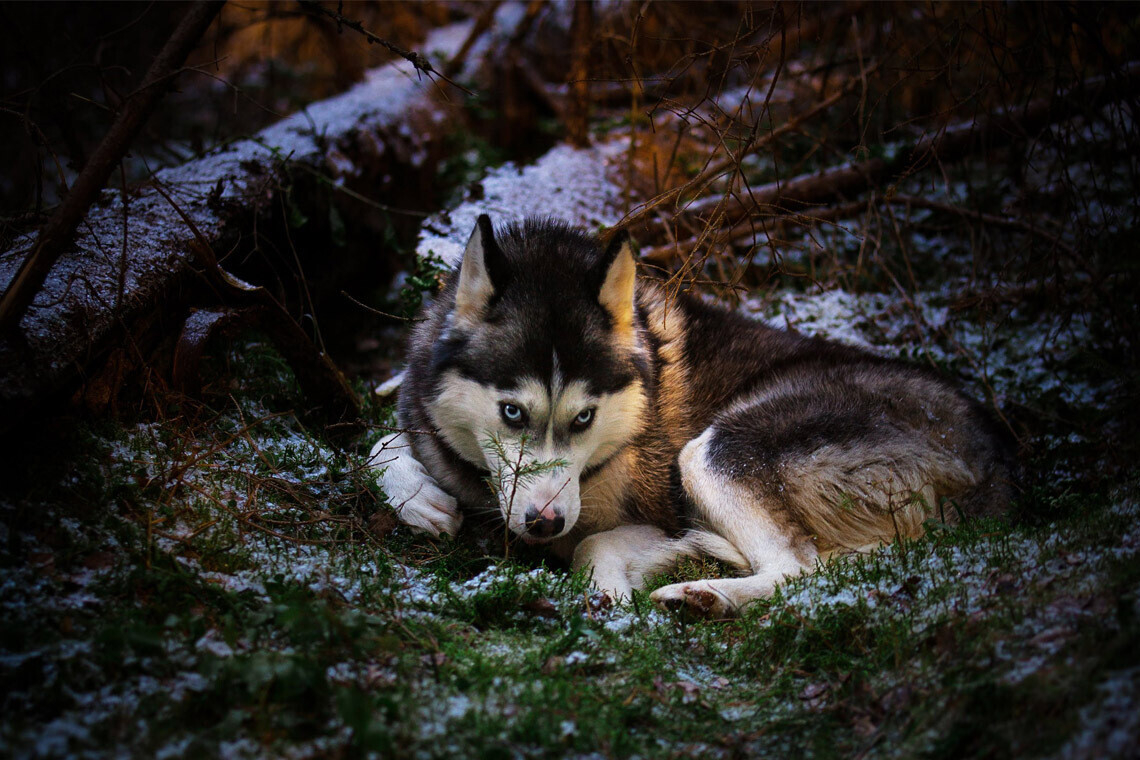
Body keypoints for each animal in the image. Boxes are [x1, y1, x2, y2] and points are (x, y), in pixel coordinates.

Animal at [369, 215, 1016, 616]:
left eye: (583, 418)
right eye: (511, 412)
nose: (544, 523)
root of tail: (996, 453)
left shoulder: (660, 508)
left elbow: (592, 545)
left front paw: (607, 590)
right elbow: (378, 442)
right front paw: (420, 498)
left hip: (713, 449)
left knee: (800, 568)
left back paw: (705, 595)